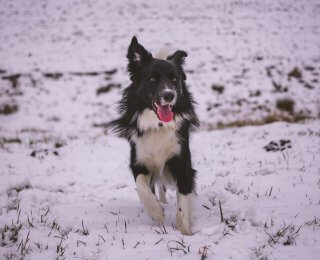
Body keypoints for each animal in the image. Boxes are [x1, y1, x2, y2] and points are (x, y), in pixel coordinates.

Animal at [107, 36, 198, 236]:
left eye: (174, 79)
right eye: (152, 79)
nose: (169, 95)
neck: (158, 125)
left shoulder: (182, 162)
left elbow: (184, 197)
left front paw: (184, 230)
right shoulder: (139, 160)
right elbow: (142, 186)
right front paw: (156, 213)